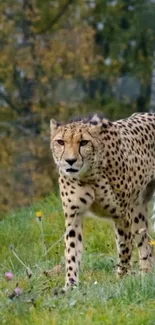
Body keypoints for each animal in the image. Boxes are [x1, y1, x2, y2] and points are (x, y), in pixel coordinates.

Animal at [50, 112, 155, 292]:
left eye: (84, 142)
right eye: (60, 142)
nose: (70, 161)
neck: (88, 175)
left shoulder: (122, 215)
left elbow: (124, 247)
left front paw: (122, 279)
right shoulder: (74, 215)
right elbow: (72, 250)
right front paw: (70, 285)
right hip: (138, 210)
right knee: (145, 243)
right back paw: (146, 275)